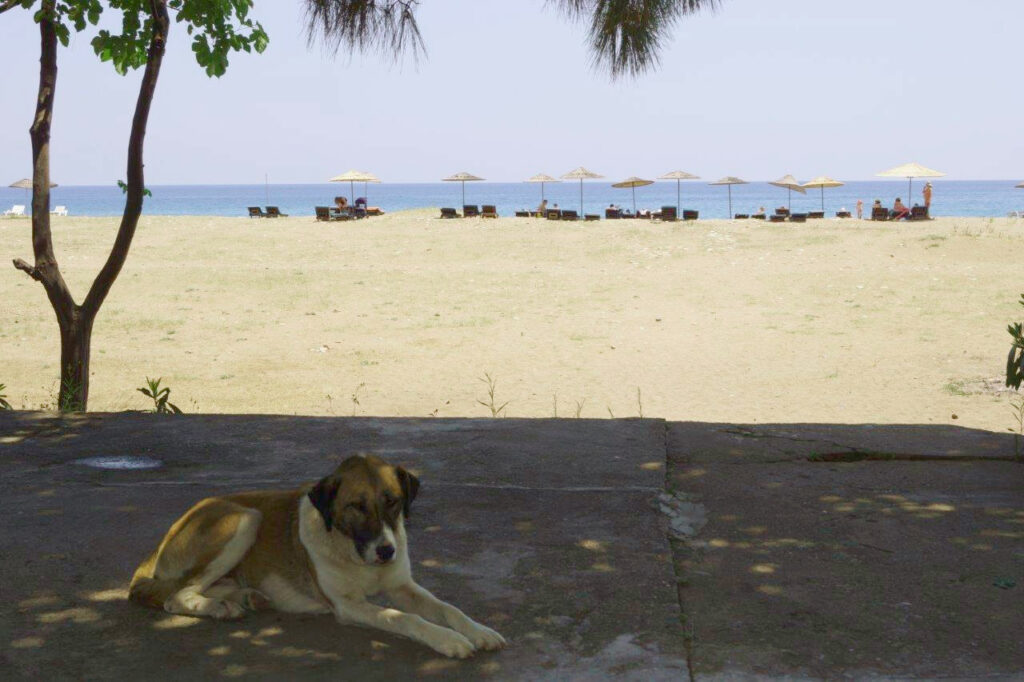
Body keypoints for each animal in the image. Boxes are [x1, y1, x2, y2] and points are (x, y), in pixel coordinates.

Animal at [130, 454, 505, 655]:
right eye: (355, 506)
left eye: (392, 502)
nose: (387, 551)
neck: (350, 549)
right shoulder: (348, 605)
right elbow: (403, 618)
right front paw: (448, 640)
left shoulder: (403, 586)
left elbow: (447, 608)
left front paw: (479, 631)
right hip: (245, 518)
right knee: (175, 596)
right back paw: (220, 607)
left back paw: (246, 596)